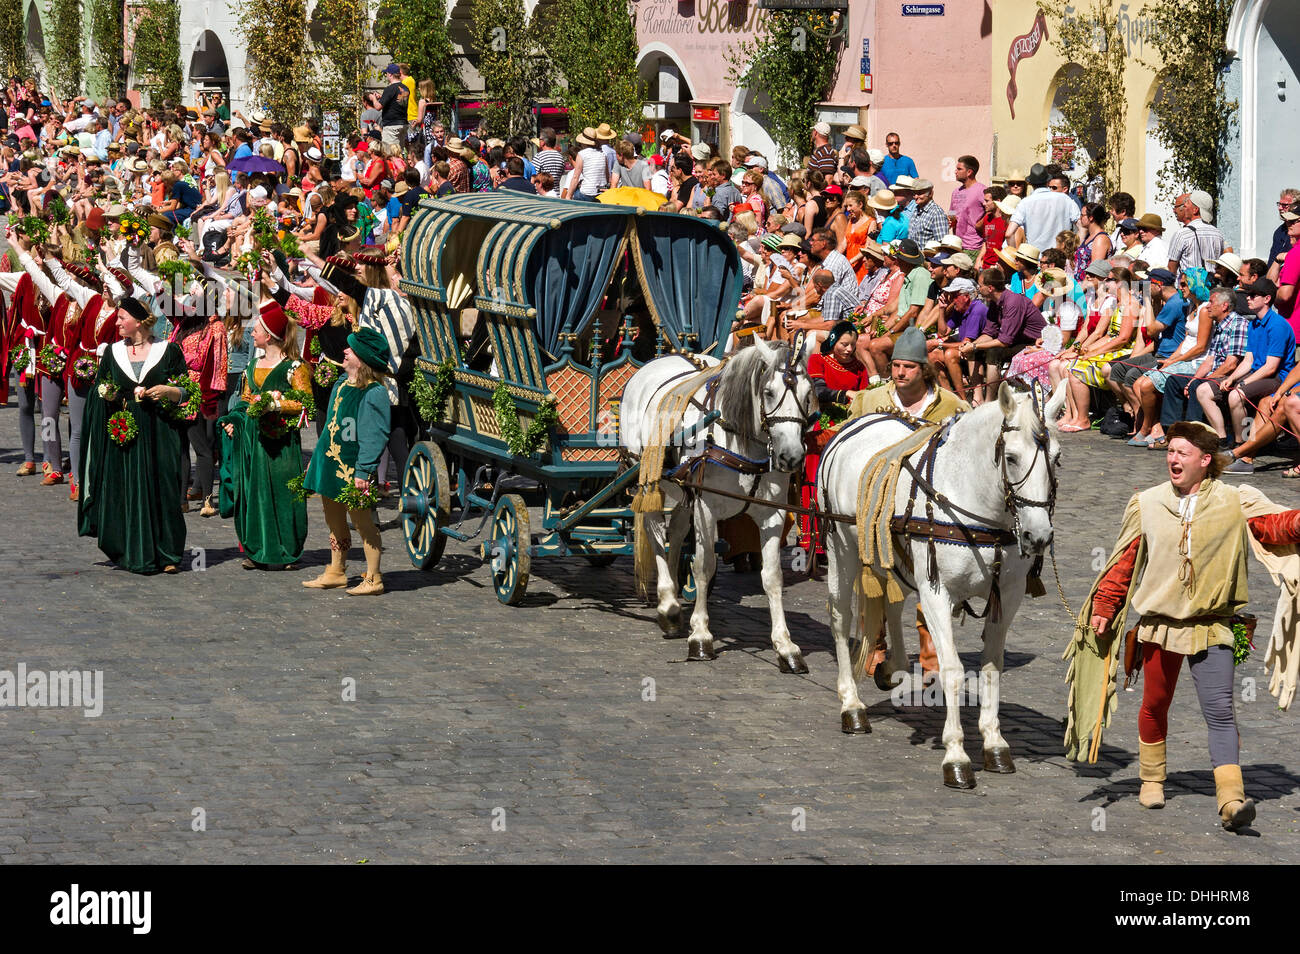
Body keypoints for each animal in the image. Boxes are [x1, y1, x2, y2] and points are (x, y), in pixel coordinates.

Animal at [616, 340, 811, 670]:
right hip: (649, 478)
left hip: (684, 489)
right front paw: (701, 637)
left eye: (809, 393)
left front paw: (786, 646)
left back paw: (674, 599)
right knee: (655, 532)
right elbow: (704, 566)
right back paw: (667, 603)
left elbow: (773, 577)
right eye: (768, 391)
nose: (792, 456)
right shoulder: (706, 507)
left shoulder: (771, 513)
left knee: (676, 532)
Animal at [821, 382, 1066, 790]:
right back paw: (851, 705)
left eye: (1057, 459)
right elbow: (951, 669)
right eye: (1011, 457)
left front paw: (994, 742)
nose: (1039, 536)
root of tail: (859, 420)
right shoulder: (937, 594)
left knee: (892, 601)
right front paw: (956, 755)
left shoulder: (1007, 595)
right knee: (840, 617)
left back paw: (892, 667)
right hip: (842, 548)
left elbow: (992, 666)